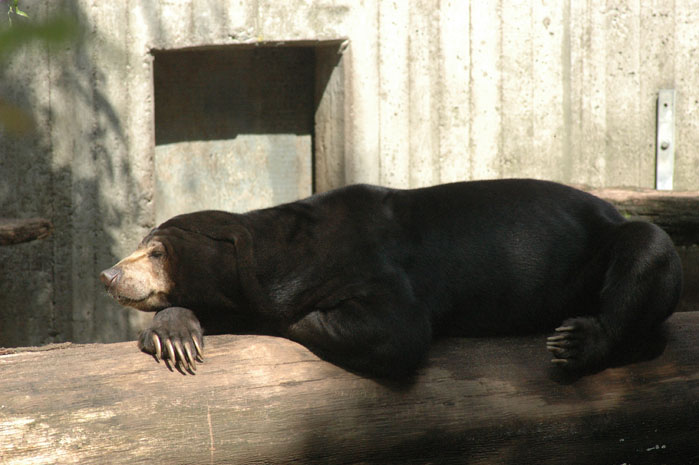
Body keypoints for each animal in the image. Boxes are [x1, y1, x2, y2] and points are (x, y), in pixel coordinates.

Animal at [100, 179, 684, 376]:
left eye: (155, 252)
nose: (108, 274)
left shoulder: (373, 264)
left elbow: (395, 334)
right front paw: (174, 334)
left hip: (614, 244)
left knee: (646, 248)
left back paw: (575, 342)